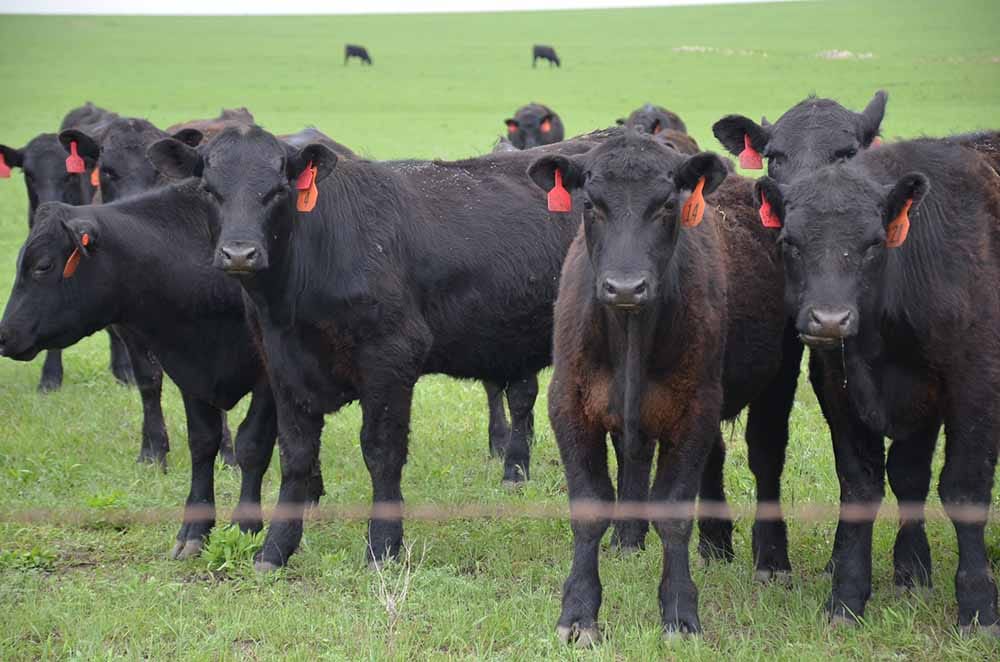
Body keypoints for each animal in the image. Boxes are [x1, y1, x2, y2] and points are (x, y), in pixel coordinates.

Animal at [0, 184, 310, 561]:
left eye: (43, 265)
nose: (5, 334)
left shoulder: (269, 377)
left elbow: (252, 445)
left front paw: (245, 525)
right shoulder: (189, 369)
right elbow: (202, 444)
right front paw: (194, 530)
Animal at [144, 124, 614, 571]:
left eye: (278, 189)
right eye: (209, 189)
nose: (240, 253)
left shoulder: (390, 359)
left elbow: (381, 452)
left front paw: (383, 546)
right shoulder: (282, 366)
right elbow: (295, 455)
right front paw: (275, 548)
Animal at [528, 131, 788, 642]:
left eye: (668, 204)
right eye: (590, 203)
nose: (626, 287)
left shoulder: (694, 409)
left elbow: (673, 512)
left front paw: (680, 611)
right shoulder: (569, 405)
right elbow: (590, 506)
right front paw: (579, 613)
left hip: (779, 379)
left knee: (767, 458)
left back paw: (771, 559)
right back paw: (686, 542)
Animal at [752, 138, 1000, 636]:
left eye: (873, 243)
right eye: (790, 242)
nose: (829, 319)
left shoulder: (976, 384)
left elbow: (963, 489)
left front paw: (978, 606)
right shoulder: (843, 389)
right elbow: (866, 485)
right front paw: (849, 597)